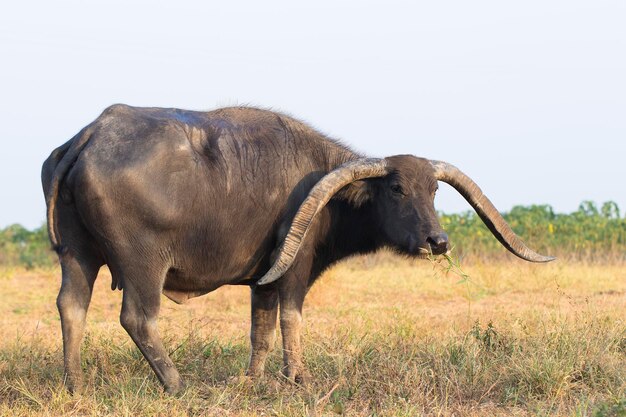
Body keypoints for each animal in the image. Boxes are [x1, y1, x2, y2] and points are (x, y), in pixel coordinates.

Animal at [42, 104, 552, 394]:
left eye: (434, 190)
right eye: (397, 189)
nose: (438, 241)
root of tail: (93, 134)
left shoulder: (262, 279)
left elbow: (261, 329)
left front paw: (253, 379)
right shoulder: (294, 268)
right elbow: (291, 319)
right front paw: (297, 377)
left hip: (77, 255)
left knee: (71, 306)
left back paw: (75, 384)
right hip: (143, 262)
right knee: (138, 318)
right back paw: (176, 384)